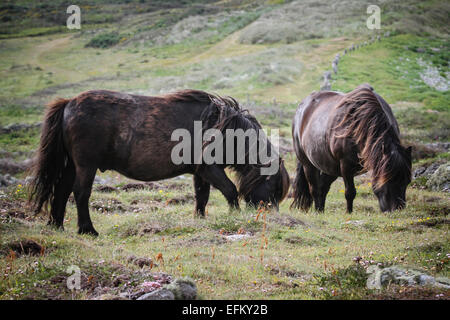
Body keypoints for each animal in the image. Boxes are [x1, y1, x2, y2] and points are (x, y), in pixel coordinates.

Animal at [28, 90, 290, 235]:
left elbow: (201, 197)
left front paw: (200, 220)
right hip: (86, 166)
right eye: (274, 186)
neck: (224, 129)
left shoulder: (200, 173)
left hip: (70, 165)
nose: (272, 217)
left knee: (61, 191)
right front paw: (234, 217)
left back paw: (57, 226)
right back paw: (88, 230)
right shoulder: (210, 169)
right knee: (80, 193)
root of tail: (68, 104)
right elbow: (230, 191)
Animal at [292, 84, 412, 214]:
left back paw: (321, 211)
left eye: (407, 181)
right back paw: (318, 211)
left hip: (330, 167)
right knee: (314, 188)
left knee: (322, 188)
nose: (397, 210)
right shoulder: (346, 166)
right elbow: (350, 192)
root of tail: (302, 106)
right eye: (388, 179)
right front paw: (349, 213)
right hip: (308, 164)